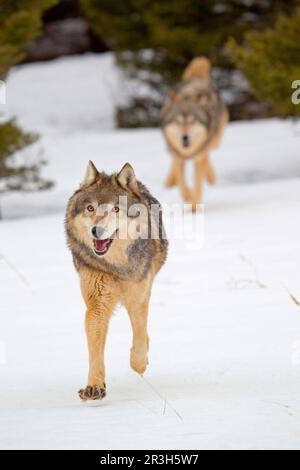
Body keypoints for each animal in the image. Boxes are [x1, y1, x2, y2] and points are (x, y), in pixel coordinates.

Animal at [64, 162, 168, 400]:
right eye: (90, 209)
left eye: (116, 209)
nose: (97, 231)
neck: (116, 266)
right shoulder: (97, 304)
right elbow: (95, 350)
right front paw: (94, 386)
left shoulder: (137, 297)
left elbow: (139, 335)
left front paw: (139, 364)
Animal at [162, 57, 227, 211]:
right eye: (178, 122)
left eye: (192, 121)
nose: (185, 137)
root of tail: (195, 79)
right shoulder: (179, 157)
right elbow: (182, 183)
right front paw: (187, 197)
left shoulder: (198, 157)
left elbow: (197, 183)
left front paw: (193, 207)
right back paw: (169, 181)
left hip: (214, 142)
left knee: (207, 155)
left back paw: (211, 177)